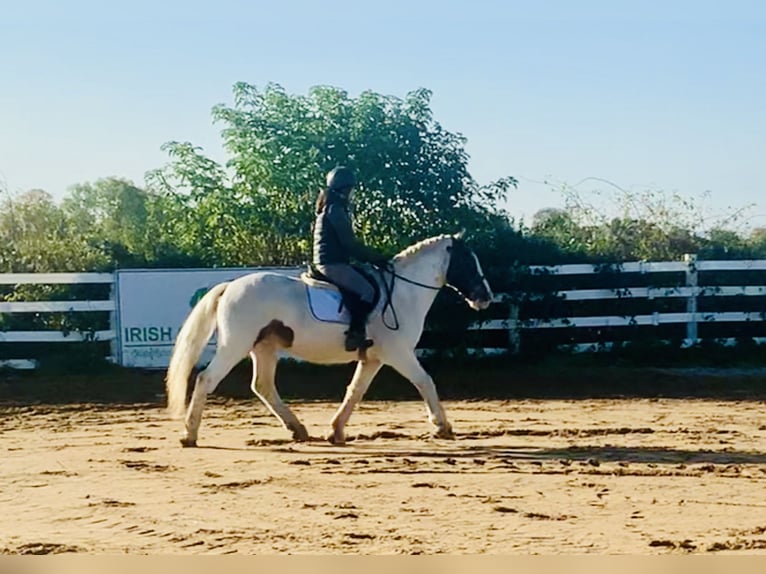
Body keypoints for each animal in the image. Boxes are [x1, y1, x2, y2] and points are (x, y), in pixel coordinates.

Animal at [165, 232, 496, 448]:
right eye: (468, 261)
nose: (486, 297)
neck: (403, 292)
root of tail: (230, 286)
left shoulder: (374, 358)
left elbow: (355, 391)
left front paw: (336, 432)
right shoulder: (399, 353)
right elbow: (425, 381)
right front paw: (442, 427)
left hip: (265, 348)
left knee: (263, 386)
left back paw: (298, 429)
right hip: (236, 344)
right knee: (207, 379)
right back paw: (189, 435)